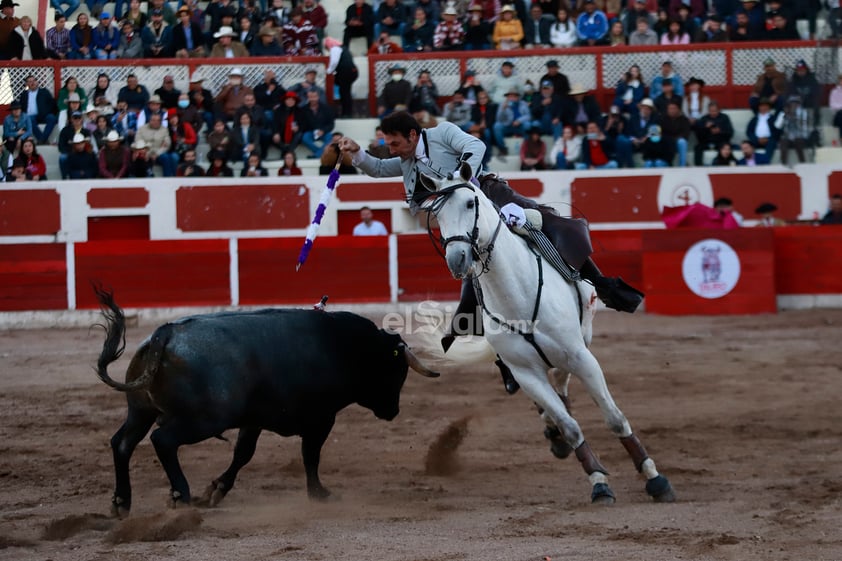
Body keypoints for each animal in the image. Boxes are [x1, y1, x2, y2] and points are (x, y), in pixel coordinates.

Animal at [94, 286, 436, 516]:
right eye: (397, 371)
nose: (392, 411)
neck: (344, 346)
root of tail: (166, 333)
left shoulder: (254, 419)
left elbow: (243, 454)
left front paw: (216, 490)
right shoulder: (321, 418)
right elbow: (311, 456)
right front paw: (319, 494)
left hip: (141, 411)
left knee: (122, 443)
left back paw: (121, 502)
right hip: (205, 419)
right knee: (163, 440)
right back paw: (181, 495)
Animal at [416, 165, 672, 504]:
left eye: (471, 204)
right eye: (437, 214)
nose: (457, 259)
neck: (516, 294)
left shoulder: (581, 357)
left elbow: (615, 418)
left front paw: (655, 479)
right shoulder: (525, 372)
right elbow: (571, 427)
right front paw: (598, 482)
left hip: (581, 340)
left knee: (562, 379)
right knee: (551, 395)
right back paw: (554, 431)